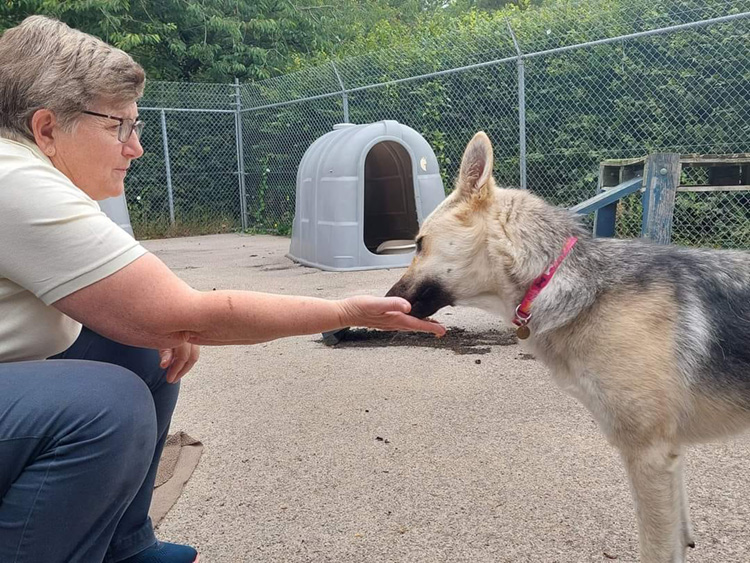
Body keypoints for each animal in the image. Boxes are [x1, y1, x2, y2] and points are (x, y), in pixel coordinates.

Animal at [388, 131, 750, 563]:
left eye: (419, 244)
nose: (387, 299)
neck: (553, 275)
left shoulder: (649, 455)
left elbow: (659, 546)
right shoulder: (668, 456)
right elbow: (678, 532)